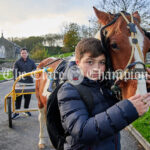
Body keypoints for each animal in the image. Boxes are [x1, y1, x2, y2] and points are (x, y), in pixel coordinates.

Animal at [34, 7, 150, 149]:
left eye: (148, 46)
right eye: (114, 45)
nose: (141, 95)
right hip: (40, 101)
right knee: (41, 117)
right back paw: (41, 140)